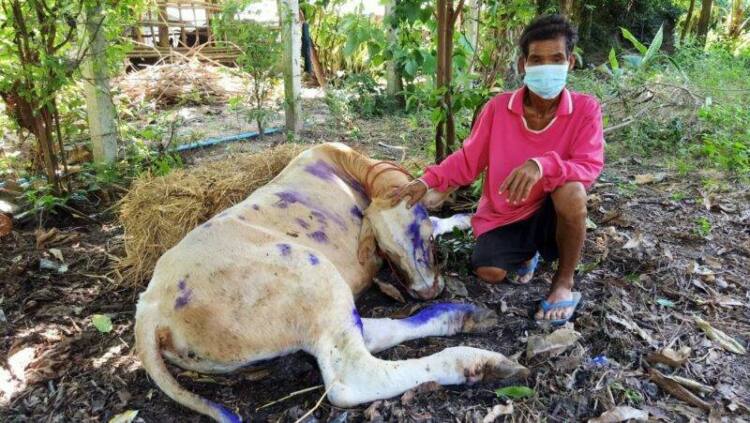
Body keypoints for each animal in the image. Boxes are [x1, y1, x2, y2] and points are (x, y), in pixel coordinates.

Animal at [134, 143, 528, 422]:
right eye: (387, 250)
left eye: (420, 239)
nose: (424, 291)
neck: (350, 166)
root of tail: (150, 307)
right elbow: (440, 218)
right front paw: (464, 218)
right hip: (312, 273)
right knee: (353, 377)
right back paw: (478, 361)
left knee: (370, 333)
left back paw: (461, 316)